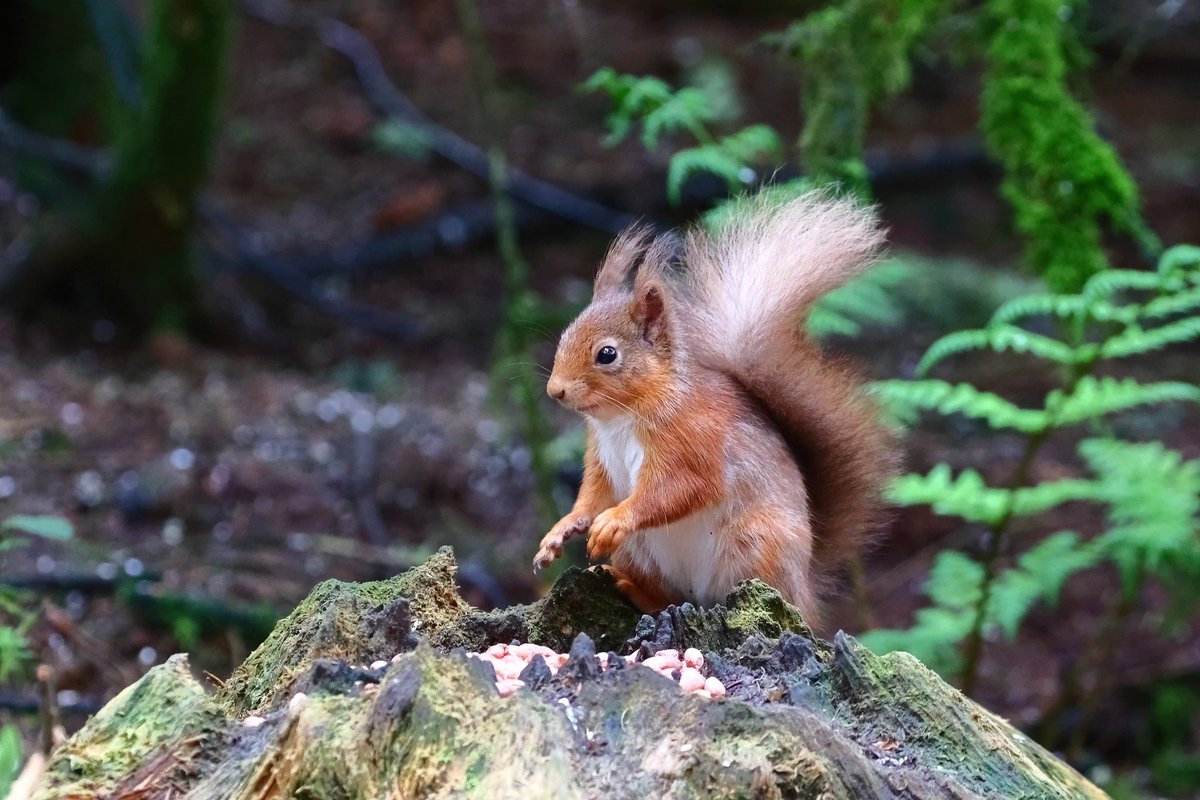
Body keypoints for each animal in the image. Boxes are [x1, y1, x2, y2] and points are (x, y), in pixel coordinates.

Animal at [535, 190, 902, 623]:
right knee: (671, 596)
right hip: (641, 553)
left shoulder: (694, 439)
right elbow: (592, 497)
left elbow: (681, 489)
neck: (621, 418)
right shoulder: (601, 459)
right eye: (565, 335)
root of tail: (806, 591)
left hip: (755, 546)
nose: (555, 391)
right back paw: (634, 589)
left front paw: (615, 519)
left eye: (607, 354)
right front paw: (561, 530)